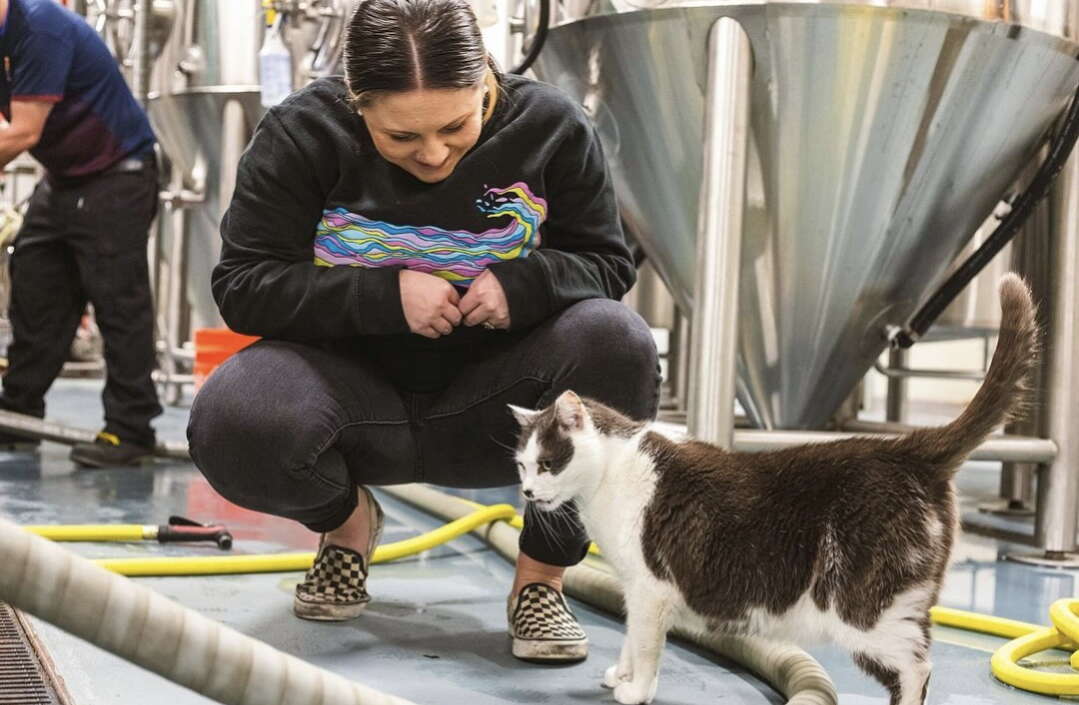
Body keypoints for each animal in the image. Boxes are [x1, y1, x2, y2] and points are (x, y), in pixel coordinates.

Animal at [511, 275, 1035, 703]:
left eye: (549, 463)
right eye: (521, 466)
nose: (529, 494)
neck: (610, 474)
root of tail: (911, 448)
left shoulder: (650, 589)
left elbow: (644, 645)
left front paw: (635, 690)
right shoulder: (633, 588)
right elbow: (628, 639)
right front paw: (620, 676)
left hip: (864, 607)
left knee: (916, 667)